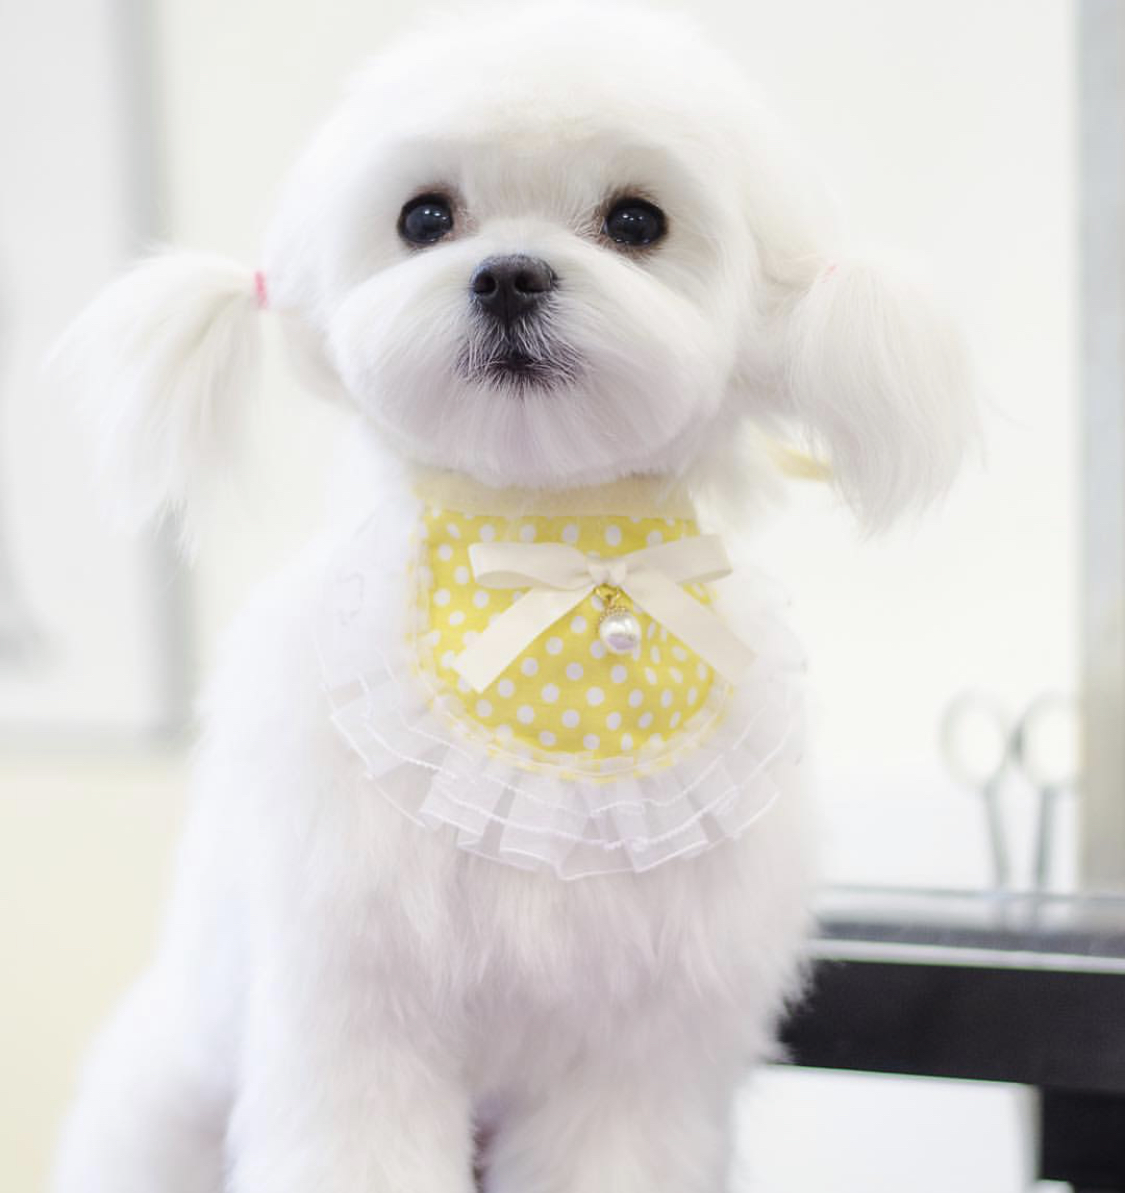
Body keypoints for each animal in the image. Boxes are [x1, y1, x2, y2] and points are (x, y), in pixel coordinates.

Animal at [48, 2, 973, 1193]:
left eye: (637, 219)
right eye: (424, 216)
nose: (507, 276)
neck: (556, 553)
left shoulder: (634, 1053)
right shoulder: (357, 1013)